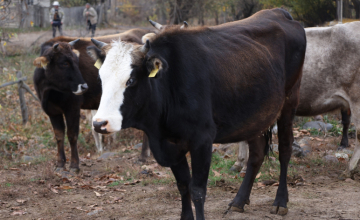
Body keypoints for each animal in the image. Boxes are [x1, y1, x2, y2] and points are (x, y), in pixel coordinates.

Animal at [89, 8, 304, 218]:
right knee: (257, 155)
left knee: (285, 150)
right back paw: (239, 201)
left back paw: (280, 202)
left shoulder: (202, 140)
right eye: (101, 78)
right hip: (256, 117)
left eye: (131, 80)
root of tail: (279, 12)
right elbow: (183, 185)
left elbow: (198, 191)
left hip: (289, 103)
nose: (100, 123)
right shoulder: (171, 144)